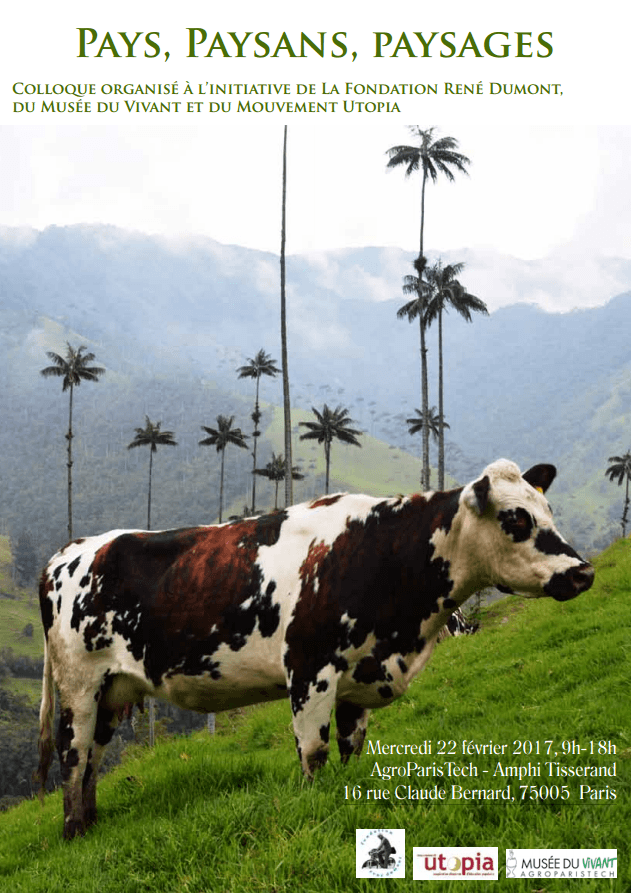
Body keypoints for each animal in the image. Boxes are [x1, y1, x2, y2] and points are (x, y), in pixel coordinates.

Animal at [34, 460, 596, 836]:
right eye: (517, 519)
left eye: (548, 508)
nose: (583, 572)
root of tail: (71, 550)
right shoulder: (310, 670)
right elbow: (315, 752)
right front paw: (314, 805)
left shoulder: (359, 675)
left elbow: (351, 748)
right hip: (79, 683)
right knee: (73, 754)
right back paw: (74, 831)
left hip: (113, 690)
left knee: (93, 757)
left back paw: (93, 822)